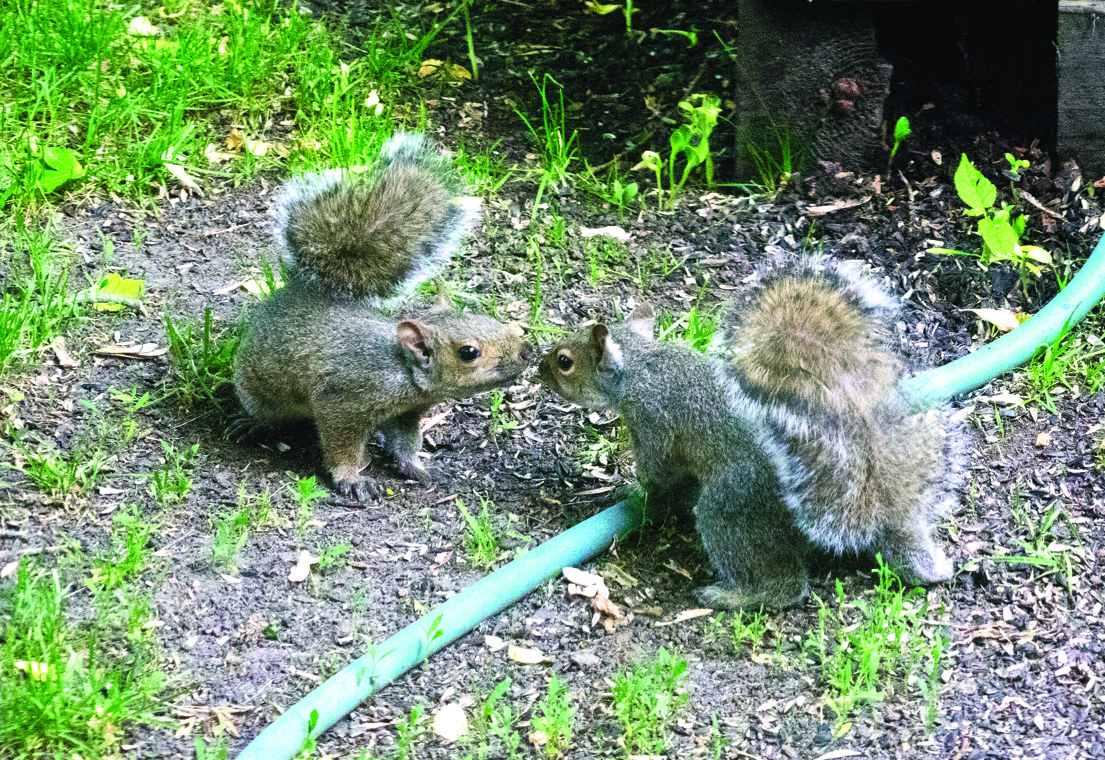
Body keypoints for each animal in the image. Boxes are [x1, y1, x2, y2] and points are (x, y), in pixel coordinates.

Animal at [233, 132, 534, 502]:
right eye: (468, 352)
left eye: (491, 320)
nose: (527, 353)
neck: (402, 373)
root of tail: (299, 288)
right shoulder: (343, 403)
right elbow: (341, 446)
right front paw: (351, 479)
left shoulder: (407, 412)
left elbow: (404, 444)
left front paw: (417, 467)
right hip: (258, 389)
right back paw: (252, 423)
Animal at [538, 255, 965, 610]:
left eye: (564, 362)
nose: (539, 369)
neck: (641, 366)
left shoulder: (653, 419)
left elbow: (657, 472)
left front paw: (632, 491)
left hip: (730, 508)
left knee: (784, 586)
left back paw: (731, 596)